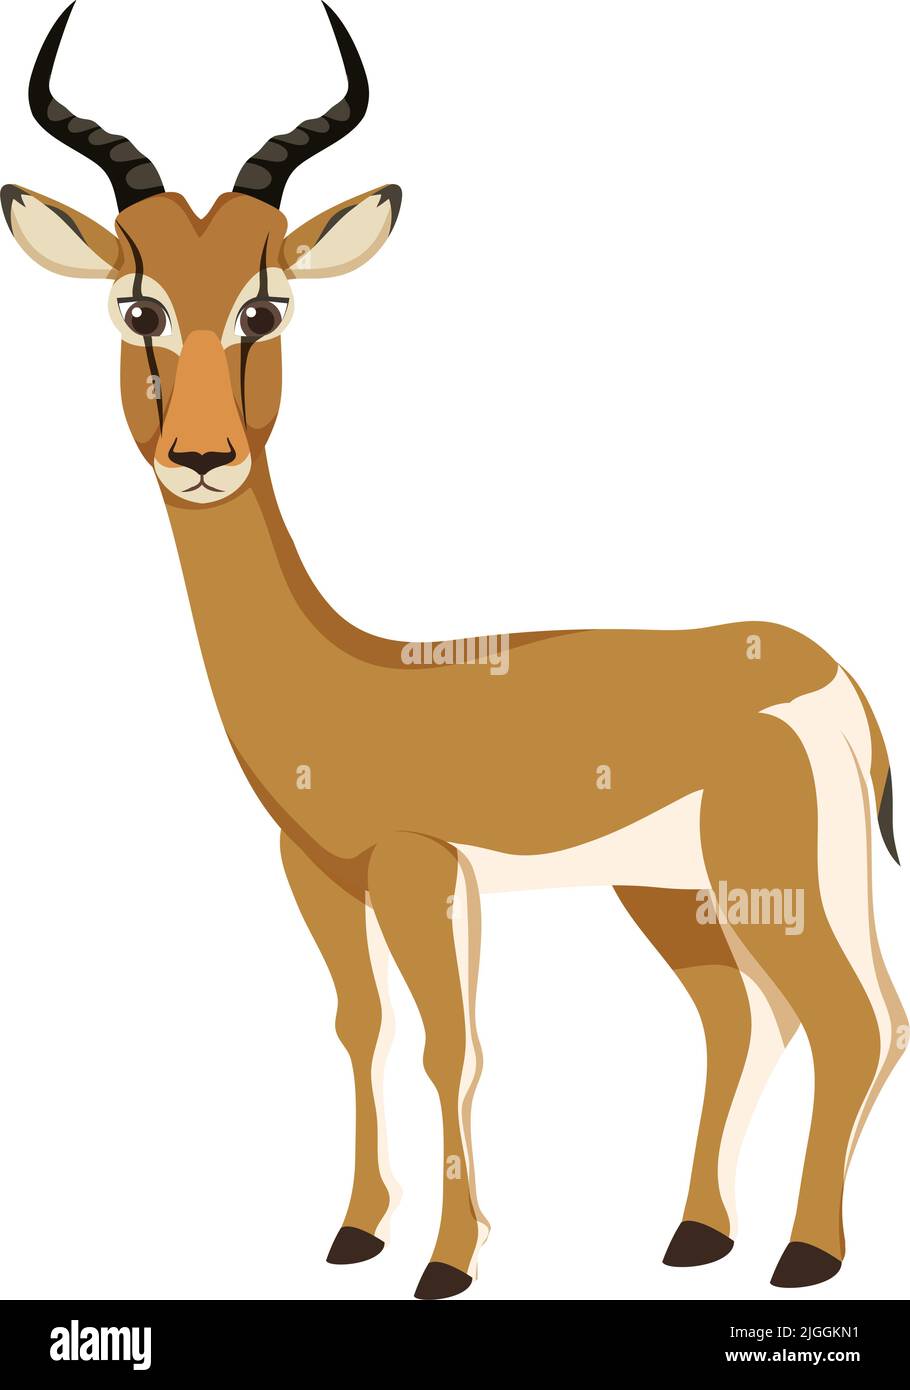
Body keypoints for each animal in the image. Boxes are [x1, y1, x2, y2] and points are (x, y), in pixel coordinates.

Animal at [4, 1, 906, 1301]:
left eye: (266, 305)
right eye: (138, 305)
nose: (202, 457)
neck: (350, 679)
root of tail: (831, 675)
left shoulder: (422, 874)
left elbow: (451, 1047)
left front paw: (446, 1262)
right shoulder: (317, 875)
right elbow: (361, 1028)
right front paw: (352, 1232)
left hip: (772, 876)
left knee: (852, 1019)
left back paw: (806, 1253)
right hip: (676, 890)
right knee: (748, 1020)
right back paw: (695, 1235)